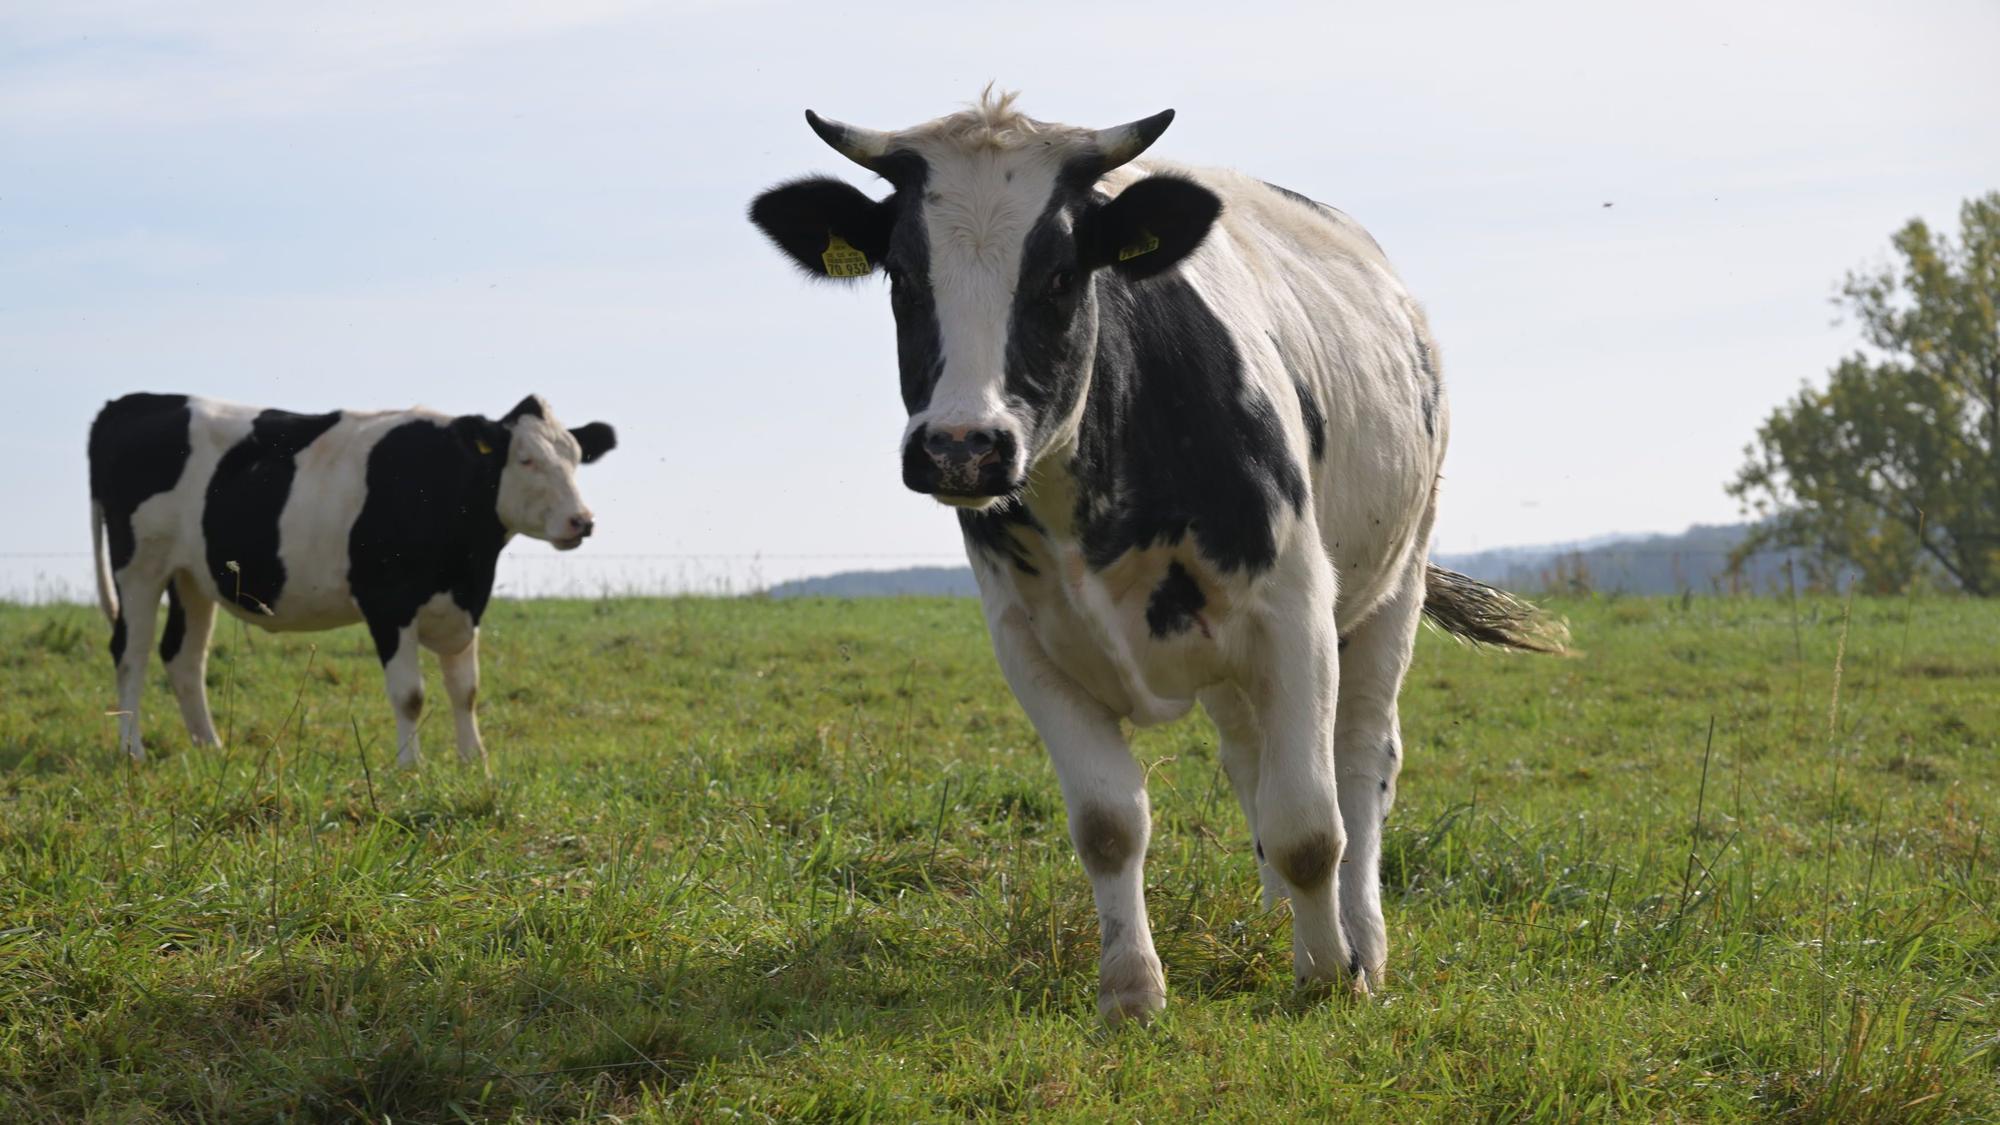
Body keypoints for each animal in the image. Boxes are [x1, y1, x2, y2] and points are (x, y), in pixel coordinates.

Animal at [87, 392, 616, 767]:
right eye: (525, 459)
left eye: (574, 458)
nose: (582, 521)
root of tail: (128, 402)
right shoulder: (387, 601)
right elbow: (410, 694)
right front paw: (411, 768)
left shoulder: (467, 603)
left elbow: (465, 689)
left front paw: (473, 762)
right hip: (139, 567)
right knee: (130, 653)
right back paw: (132, 751)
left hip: (192, 577)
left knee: (184, 656)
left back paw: (210, 746)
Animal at [748, 90, 1565, 1023]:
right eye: (903, 278)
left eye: (1061, 276)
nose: (961, 448)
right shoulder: (1027, 642)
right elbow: (1110, 824)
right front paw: (1132, 991)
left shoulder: (1294, 613)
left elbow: (1309, 824)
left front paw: (1329, 974)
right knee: (1250, 759)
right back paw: (1273, 921)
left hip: (1394, 582)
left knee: (1360, 765)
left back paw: (1364, 938)